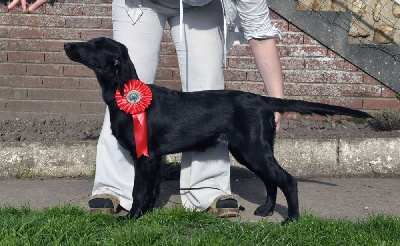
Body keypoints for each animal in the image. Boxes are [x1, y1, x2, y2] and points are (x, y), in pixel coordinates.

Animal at [64, 37, 370, 224]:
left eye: (94, 45)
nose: (67, 44)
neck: (125, 96)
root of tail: (262, 99)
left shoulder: (146, 156)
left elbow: (139, 190)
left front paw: (132, 217)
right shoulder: (156, 158)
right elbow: (150, 190)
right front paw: (147, 215)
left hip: (254, 149)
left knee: (287, 180)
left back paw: (291, 219)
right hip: (249, 151)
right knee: (271, 181)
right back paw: (266, 210)